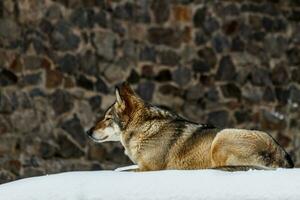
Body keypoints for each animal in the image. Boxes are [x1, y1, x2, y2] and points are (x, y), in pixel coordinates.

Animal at [85, 83, 294, 172]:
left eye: (107, 118)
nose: (87, 132)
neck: (144, 129)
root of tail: (281, 154)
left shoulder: (149, 169)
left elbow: (121, 171)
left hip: (221, 138)